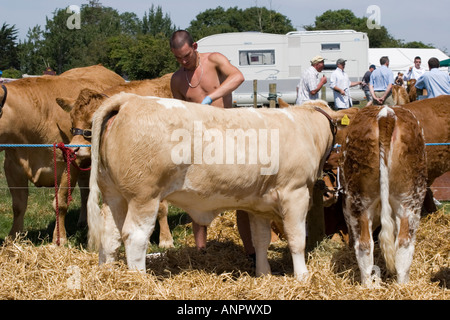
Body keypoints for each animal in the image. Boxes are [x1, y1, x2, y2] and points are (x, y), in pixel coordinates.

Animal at [0, 65, 124, 245]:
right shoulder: (12, 166)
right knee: (85, 189)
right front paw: (12, 238)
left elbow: (61, 203)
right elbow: (18, 205)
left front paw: (60, 239)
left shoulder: (69, 165)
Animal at [86, 92, 342, 280]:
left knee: (110, 236)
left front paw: (264, 274)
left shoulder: (259, 206)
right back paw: (140, 281)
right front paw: (303, 276)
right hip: (144, 197)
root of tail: (130, 99)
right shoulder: (296, 193)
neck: (304, 128)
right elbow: (297, 238)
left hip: (114, 195)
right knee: (135, 237)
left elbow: (261, 240)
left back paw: (107, 274)